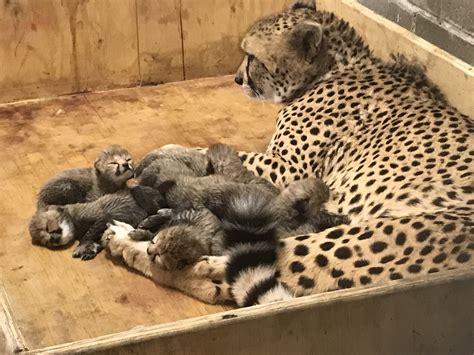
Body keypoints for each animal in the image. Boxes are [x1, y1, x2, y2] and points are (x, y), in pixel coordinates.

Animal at [104, 0, 474, 308]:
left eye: (252, 57)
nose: (237, 79)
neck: (334, 67)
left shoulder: (290, 168)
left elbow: (223, 153)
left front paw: (165, 152)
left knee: (211, 266)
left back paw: (128, 242)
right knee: (218, 282)